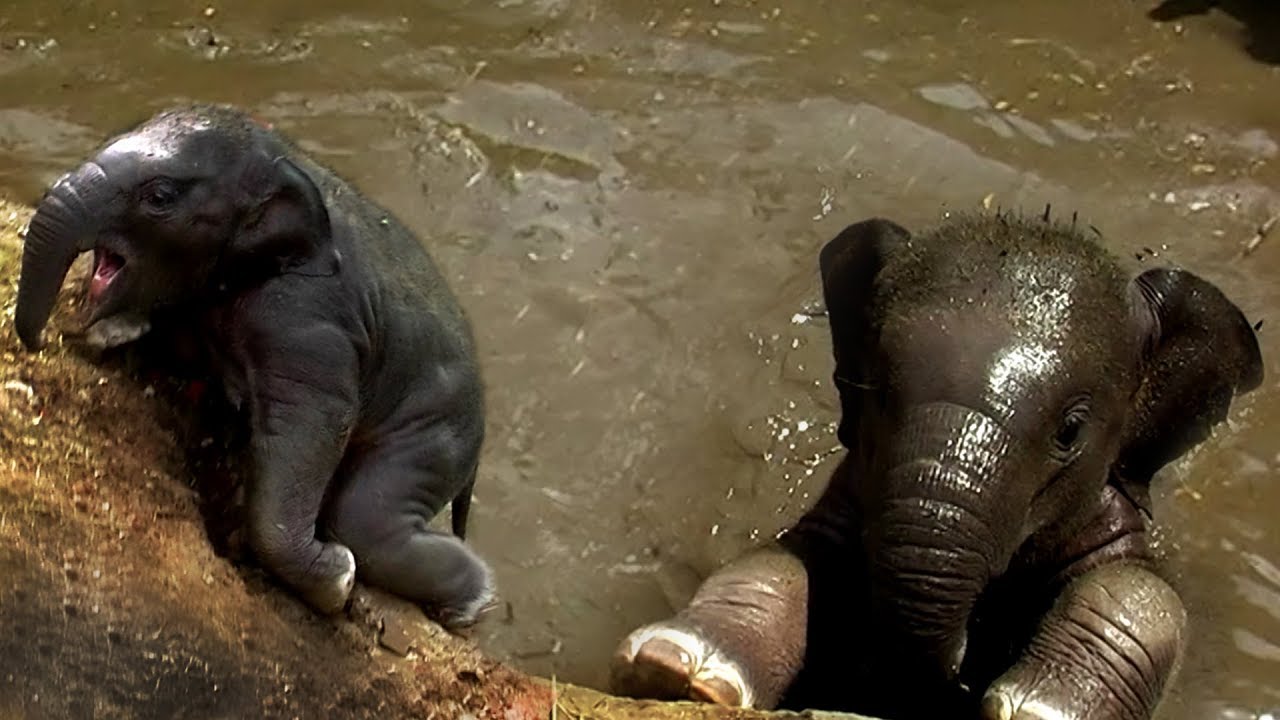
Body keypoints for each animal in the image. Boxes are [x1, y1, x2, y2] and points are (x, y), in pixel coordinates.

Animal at [13, 104, 495, 629]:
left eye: (159, 196)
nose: (42, 341)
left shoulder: (306, 321)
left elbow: (315, 421)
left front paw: (336, 582)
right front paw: (115, 332)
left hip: (436, 434)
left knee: (366, 520)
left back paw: (467, 607)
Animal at [610, 213, 1265, 719]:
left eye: (1070, 431)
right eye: (875, 391)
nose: (961, 662)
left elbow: (1143, 592)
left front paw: (1042, 707)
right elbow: (784, 558)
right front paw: (673, 670)